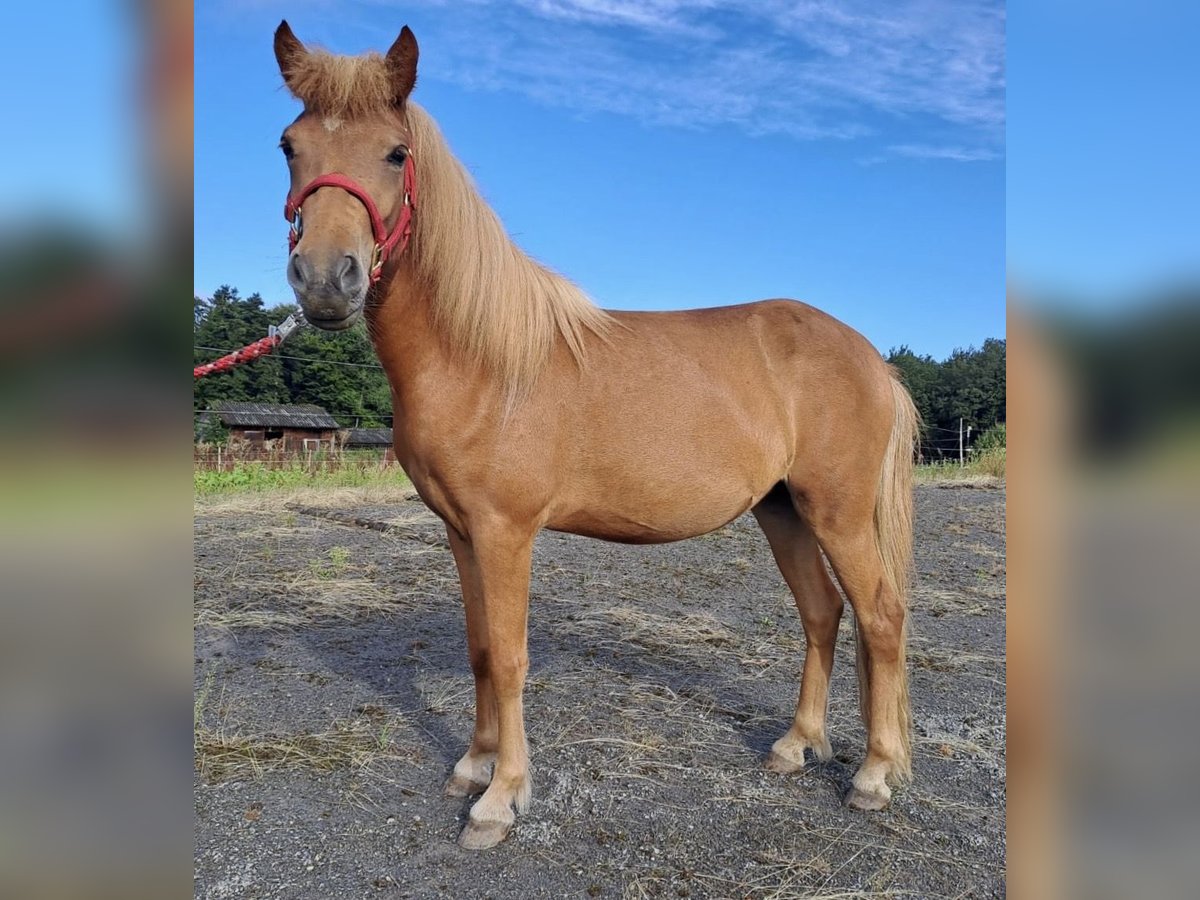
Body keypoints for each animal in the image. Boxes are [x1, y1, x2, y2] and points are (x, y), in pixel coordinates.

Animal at [270, 21, 916, 854]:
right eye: (290, 145)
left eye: (396, 153)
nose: (325, 280)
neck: (483, 358)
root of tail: (871, 357)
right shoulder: (460, 532)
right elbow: (479, 651)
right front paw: (473, 766)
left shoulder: (506, 530)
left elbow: (511, 657)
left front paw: (500, 799)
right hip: (783, 511)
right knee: (822, 614)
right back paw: (796, 745)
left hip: (836, 511)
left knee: (880, 618)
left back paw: (874, 775)